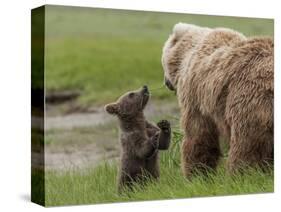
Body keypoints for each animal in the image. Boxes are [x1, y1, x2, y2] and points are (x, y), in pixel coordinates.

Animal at [161, 22, 272, 176]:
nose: (166, 82)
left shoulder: (195, 94)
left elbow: (198, 134)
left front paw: (196, 173)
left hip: (248, 98)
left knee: (247, 145)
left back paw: (241, 173)